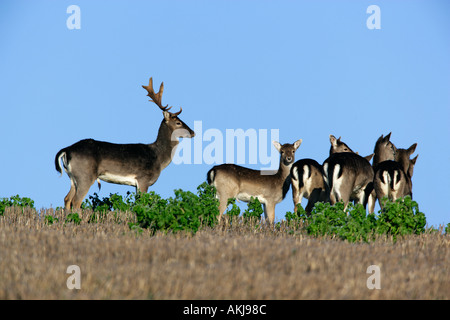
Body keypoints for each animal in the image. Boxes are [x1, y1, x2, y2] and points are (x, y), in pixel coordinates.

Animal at [53, 77, 194, 210]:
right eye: (178, 123)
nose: (193, 132)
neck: (158, 157)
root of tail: (67, 150)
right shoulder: (143, 179)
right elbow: (142, 205)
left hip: (72, 177)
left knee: (67, 199)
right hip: (85, 175)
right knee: (76, 201)